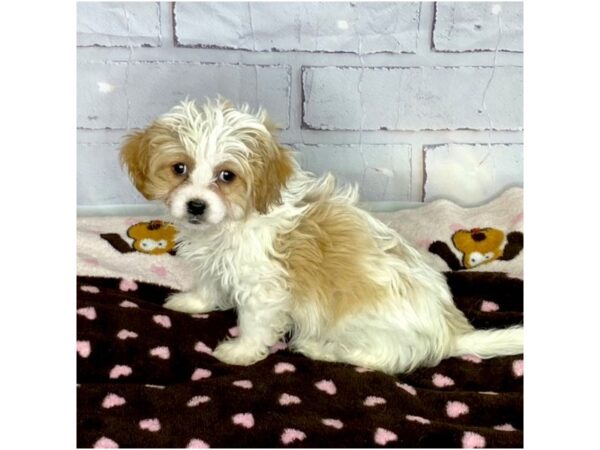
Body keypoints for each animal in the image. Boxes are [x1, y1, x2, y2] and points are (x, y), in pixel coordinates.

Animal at [119, 97, 524, 372]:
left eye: (227, 176)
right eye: (179, 168)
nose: (196, 206)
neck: (234, 222)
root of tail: (449, 333)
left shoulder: (263, 287)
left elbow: (254, 322)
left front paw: (240, 352)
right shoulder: (216, 261)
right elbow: (208, 283)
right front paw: (193, 302)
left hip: (364, 329)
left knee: (375, 358)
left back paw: (318, 348)